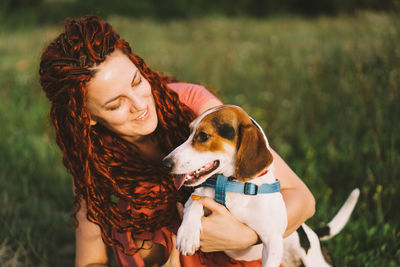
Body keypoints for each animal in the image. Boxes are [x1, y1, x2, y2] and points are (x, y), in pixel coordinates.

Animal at [162, 105, 360, 267]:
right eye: (188, 132)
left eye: (203, 136)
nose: (166, 163)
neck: (235, 185)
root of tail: (312, 234)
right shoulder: (201, 195)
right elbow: (196, 202)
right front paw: (187, 234)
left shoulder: (272, 240)